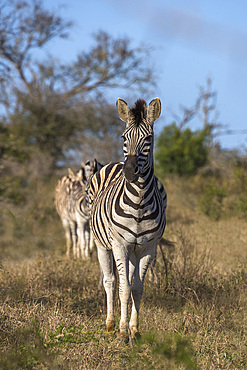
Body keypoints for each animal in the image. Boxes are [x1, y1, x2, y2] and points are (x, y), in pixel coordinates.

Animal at [88, 97, 167, 340]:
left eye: (148, 139)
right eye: (124, 137)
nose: (130, 172)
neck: (139, 202)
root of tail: (115, 163)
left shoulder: (148, 248)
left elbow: (137, 289)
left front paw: (135, 330)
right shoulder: (120, 244)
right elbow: (123, 288)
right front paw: (123, 332)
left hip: (133, 251)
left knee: (129, 281)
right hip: (103, 244)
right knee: (110, 281)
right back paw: (110, 323)